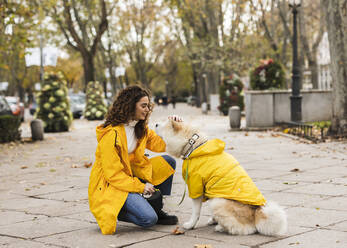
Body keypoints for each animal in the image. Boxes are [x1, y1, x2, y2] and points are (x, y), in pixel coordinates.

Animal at [157, 120, 288, 236]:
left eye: (163, 124)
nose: (156, 124)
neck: (194, 145)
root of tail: (256, 212)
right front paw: (213, 219)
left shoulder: (196, 187)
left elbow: (196, 212)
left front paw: (190, 225)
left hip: (218, 202)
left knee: (246, 229)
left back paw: (221, 228)